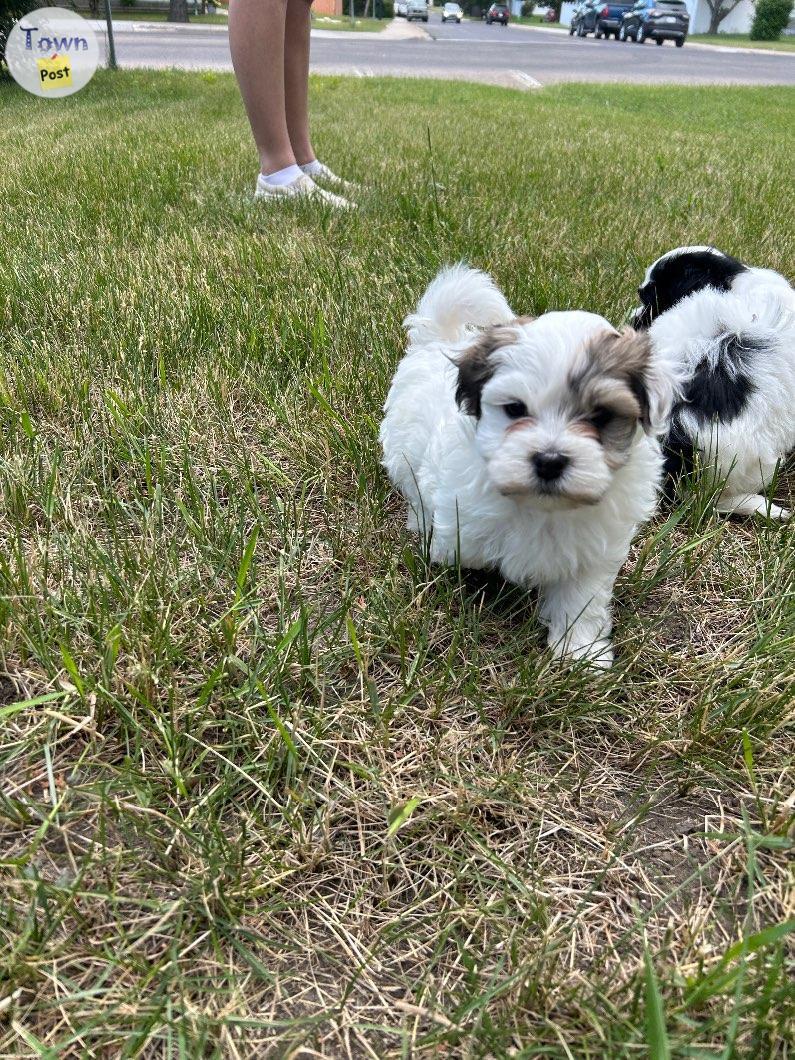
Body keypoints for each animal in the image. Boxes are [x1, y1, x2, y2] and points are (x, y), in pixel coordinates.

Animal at [379, 267, 686, 661]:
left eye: (601, 416)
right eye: (515, 409)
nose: (549, 460)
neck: (543, 508)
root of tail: (437, 341)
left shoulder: (594, 551)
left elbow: (581, 598)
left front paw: (580, 651)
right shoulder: (460, 517)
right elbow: (460, 551)